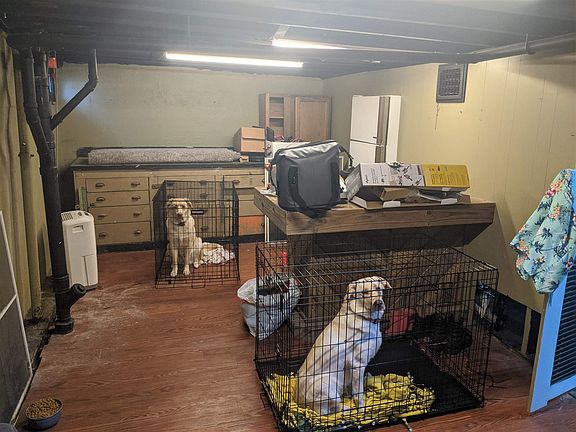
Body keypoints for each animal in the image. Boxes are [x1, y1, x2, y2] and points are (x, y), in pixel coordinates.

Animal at [295, 276, 392, 415]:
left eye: (378, 288)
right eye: (364, 293)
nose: (378, 303)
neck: (362, 316)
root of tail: (300, 403)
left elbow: (354, 388)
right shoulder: (357, 364)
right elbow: (359, 394)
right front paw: (362, 410)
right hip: (326, 382)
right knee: (325, 410)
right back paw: (346, 409)